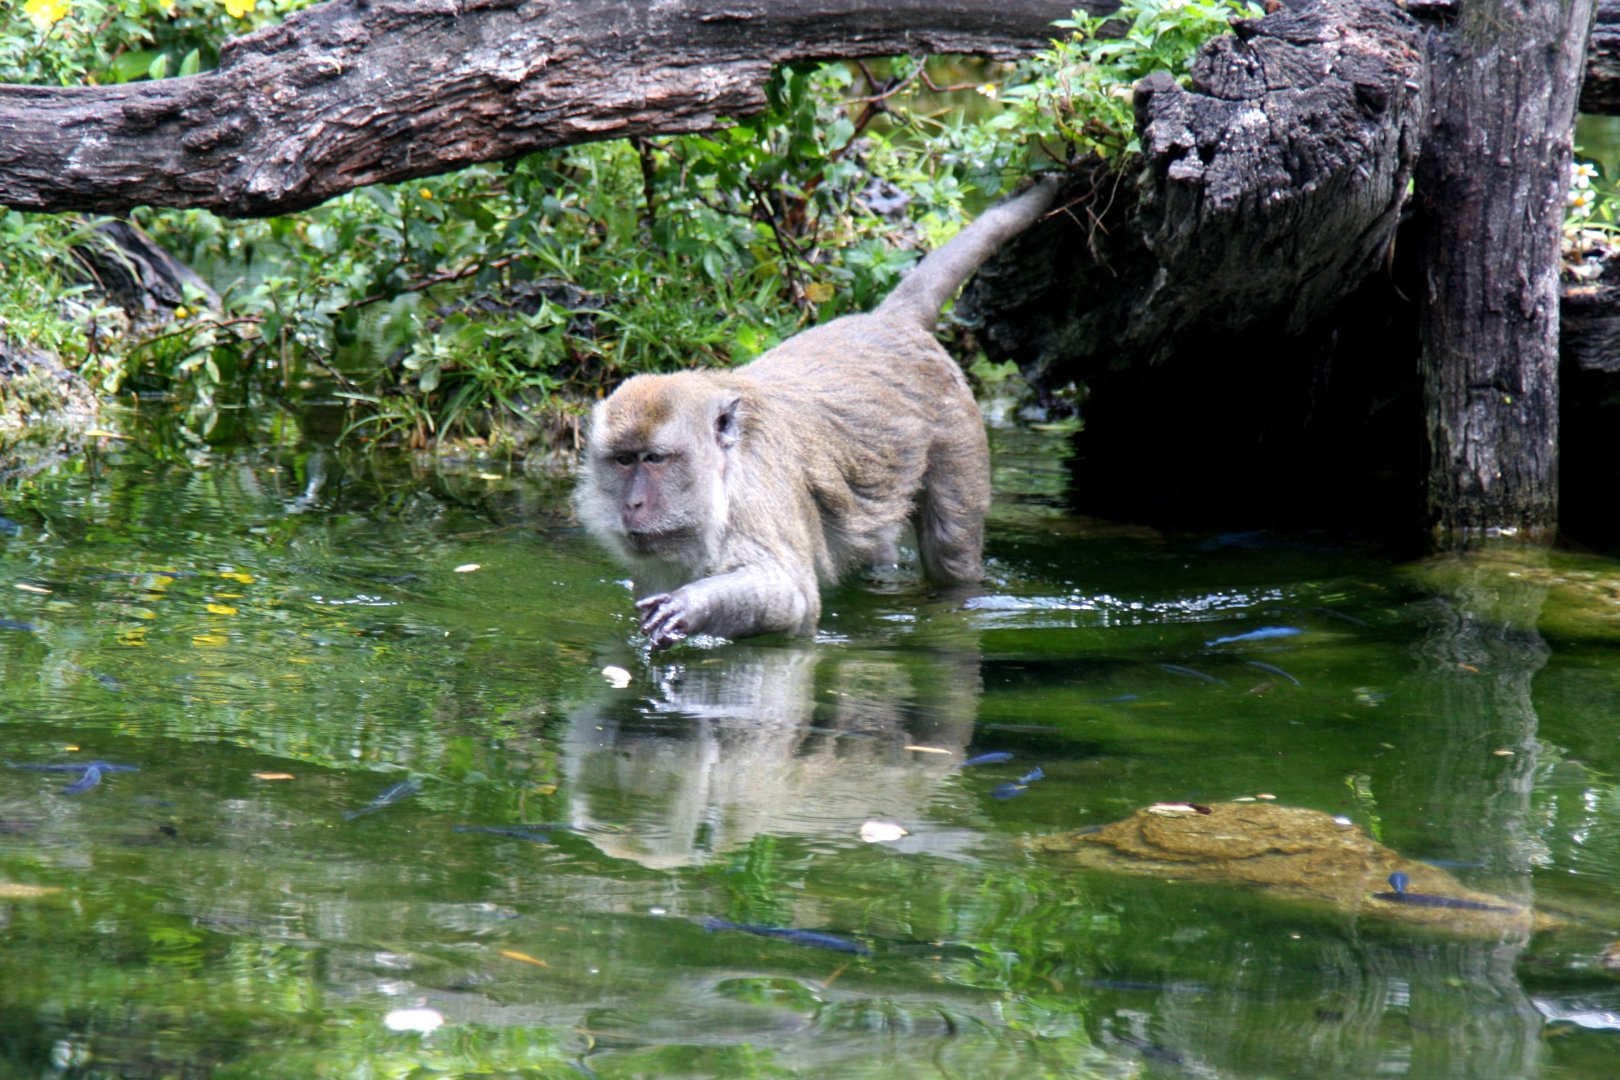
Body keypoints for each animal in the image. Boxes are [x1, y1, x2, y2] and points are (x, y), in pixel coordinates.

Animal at [574, 174, 1063, 649]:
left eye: (654, 459)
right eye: (624, 460)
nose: (633, 503)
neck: (725, 472)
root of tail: (890, 321)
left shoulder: (758, 492)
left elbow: (792, 596)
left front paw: (692, 606)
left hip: (956, 428)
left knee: (952, 547)